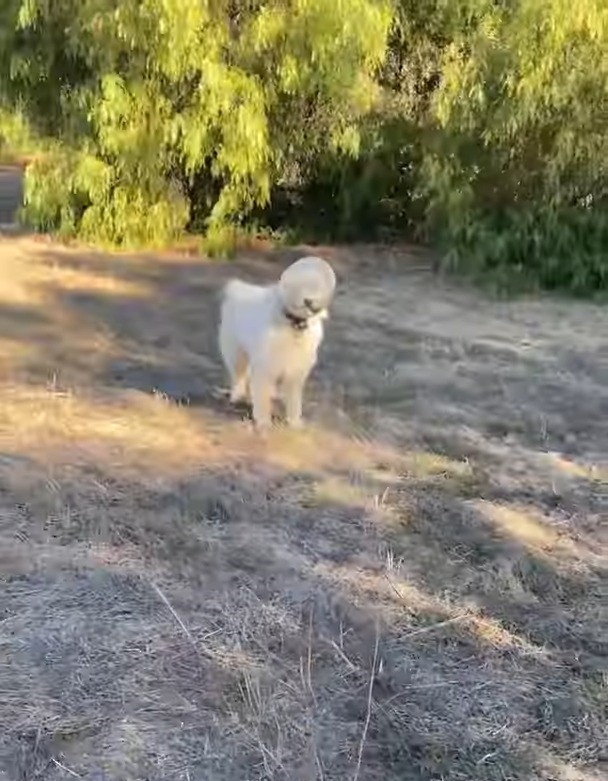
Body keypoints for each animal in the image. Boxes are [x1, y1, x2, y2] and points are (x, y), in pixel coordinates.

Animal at [217, 254, 334, 426]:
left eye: (318, 285)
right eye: (300, 285)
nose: (309, 301)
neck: (294, 324)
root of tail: (238, 288)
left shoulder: (296, 369)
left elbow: (293, 399)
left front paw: (294, 422)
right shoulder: (265, 366)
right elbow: (262, 395)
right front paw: (263, 422)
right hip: (236, 351)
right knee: (239, 374)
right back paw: (237, 396)